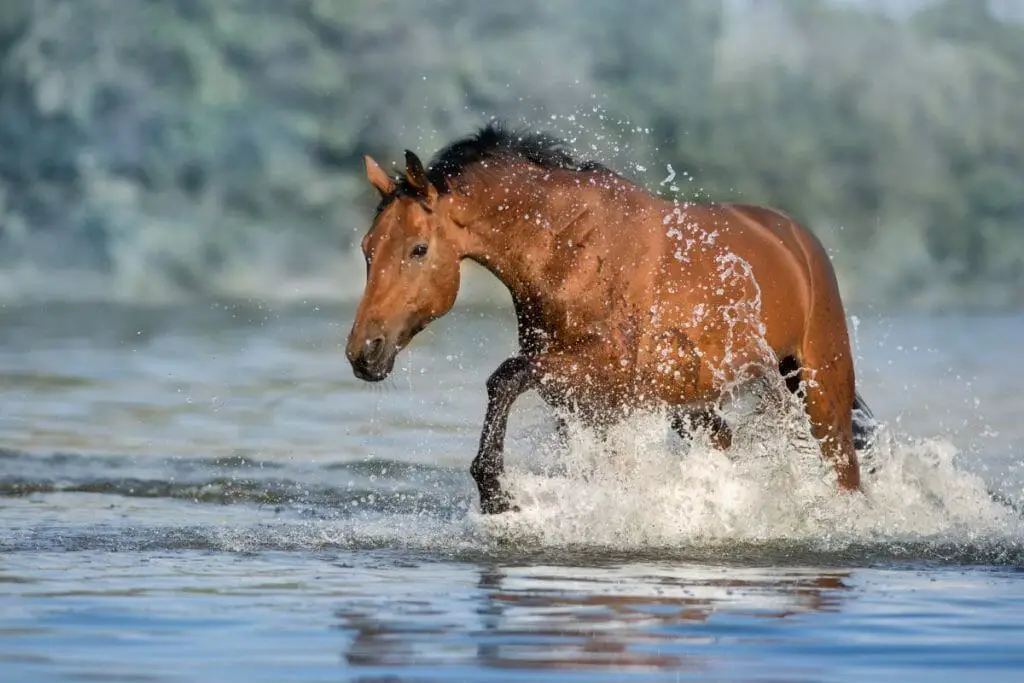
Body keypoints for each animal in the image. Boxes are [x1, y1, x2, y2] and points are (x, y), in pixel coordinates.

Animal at [348, 124, 876, 518]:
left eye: (418, 249)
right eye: (367, 249)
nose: (363, 352)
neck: (571, 247)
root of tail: (799, 243)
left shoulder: (608, 373)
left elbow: (504, 378)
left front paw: (496, 493)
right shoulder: (586, 395)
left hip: (819, 390)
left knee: (845, 469)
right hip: (692, 400)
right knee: (724, 442)